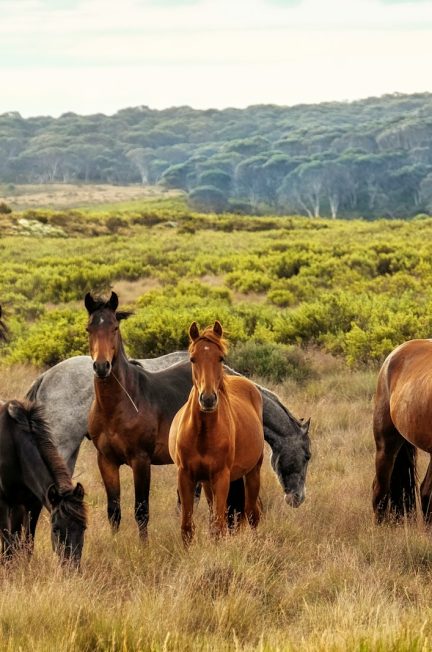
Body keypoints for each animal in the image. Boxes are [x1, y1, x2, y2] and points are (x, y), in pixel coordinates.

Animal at [0, 398, 87, 564]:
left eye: (83, 527)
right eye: (55, 529)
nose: (72, 566)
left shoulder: (34, 504)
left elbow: (28, 543)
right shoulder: (3, 503)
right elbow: (7, 545)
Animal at [168, 322, 264, 544]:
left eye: (220, 357)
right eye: (193, 358)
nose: (208, 399)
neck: (203, 434)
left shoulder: (221, 477)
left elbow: (219, 526)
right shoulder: (186, 476)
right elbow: (187, 527)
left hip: (253, 472)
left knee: (252, 514)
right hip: (206, 482)